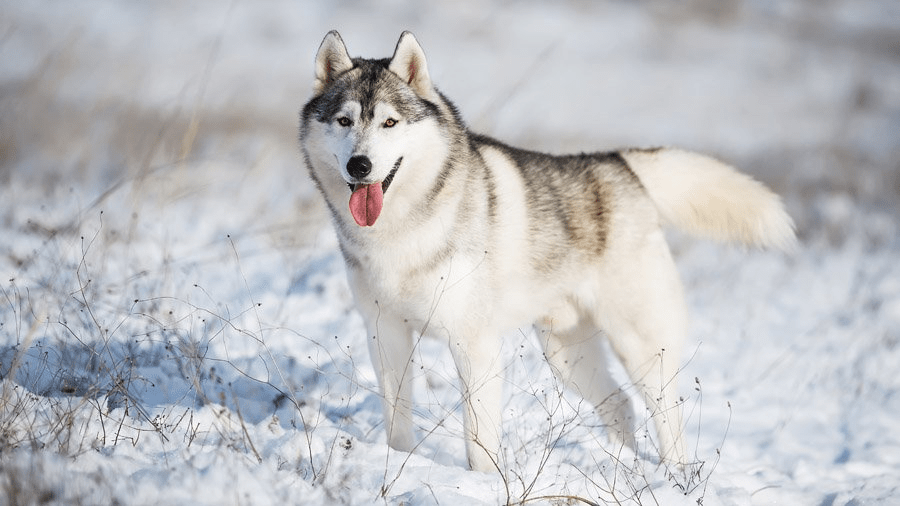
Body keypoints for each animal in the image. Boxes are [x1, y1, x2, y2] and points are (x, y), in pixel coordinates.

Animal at [300, 32, 796, 474]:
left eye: (389, 123)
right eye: (344, 121)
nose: (360, 165)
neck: (401, 231)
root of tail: (620, 164)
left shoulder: (474, 346)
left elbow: (479, 442)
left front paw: (481, 484)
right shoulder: (385, 334)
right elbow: (397, 425)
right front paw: (399, 465)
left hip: (638, 348)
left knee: (666, 418)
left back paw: (673, 478)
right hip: (566, 356)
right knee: (620, 404)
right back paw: (626, 468)